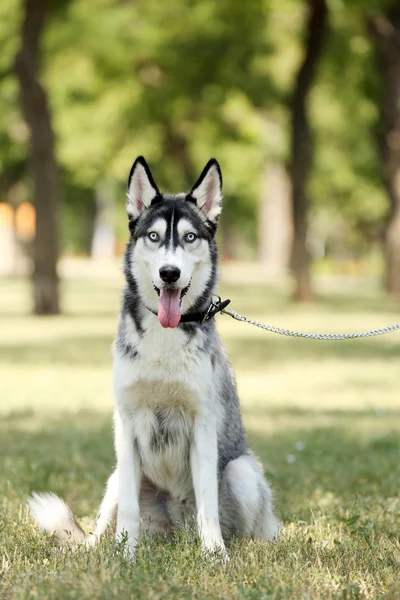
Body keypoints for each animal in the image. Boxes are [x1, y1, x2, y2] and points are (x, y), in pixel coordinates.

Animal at [28, 156, 278, 556]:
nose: (169, 272)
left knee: (243, 527)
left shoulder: (202, 424)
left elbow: (208, 504)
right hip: (115, 479)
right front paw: (124, 558)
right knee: (102, 526)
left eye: (190, 237)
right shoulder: (128, 426)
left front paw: (215, 556)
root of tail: (176, 530)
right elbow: (128, 512)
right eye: (154, 237)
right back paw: (96, 548)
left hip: (241, 473)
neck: (165, 337)